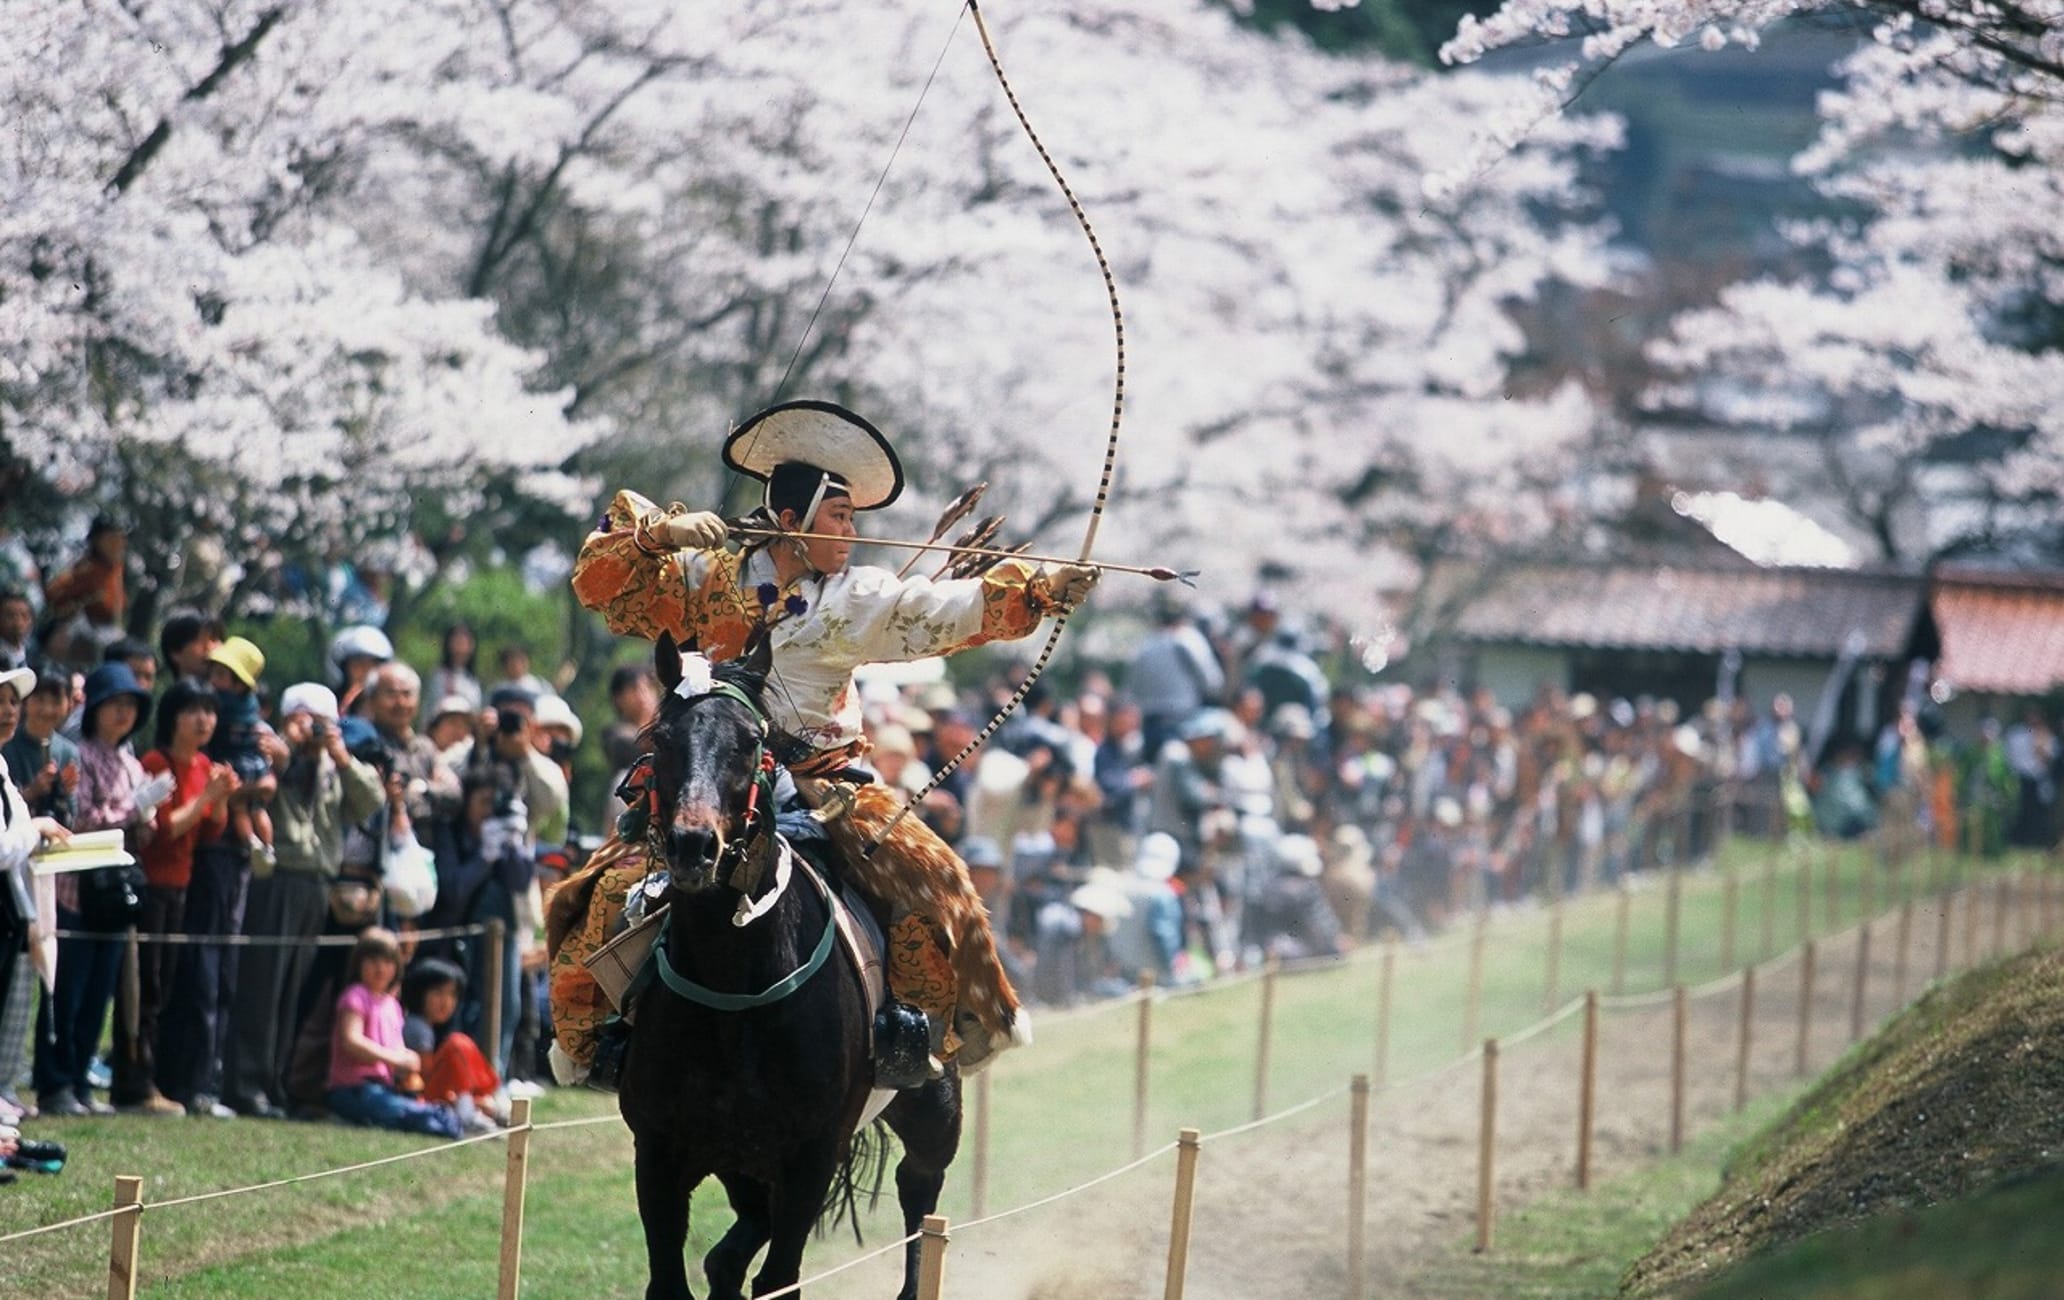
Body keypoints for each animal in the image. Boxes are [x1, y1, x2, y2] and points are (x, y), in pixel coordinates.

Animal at [619, 635, 957, 1295]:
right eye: (663, 739)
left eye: (750, 740)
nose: (693, 845)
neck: (734, 990)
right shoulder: (660, 1154)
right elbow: (670, 1279)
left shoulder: (811, 1155)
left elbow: (781, 1277)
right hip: (740, 1162)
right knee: (732, 1250)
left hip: (933, 1103)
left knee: (921, 1192)